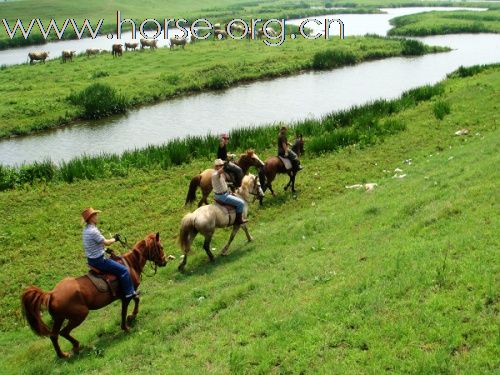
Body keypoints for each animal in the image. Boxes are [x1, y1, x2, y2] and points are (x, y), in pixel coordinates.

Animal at [21, 232, 172, 358]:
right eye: (161, 246)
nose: (164, 262)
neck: (131, 263)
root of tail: (51, 294)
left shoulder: (127, 295)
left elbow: (136, 300)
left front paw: (130, 318)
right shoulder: (127, 295)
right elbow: (129, 306)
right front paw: (127, 324)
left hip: (59, 318)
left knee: (54, 335)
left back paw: (63, 355)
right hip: (79, 315)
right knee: (63, 332)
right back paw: (76, 347)